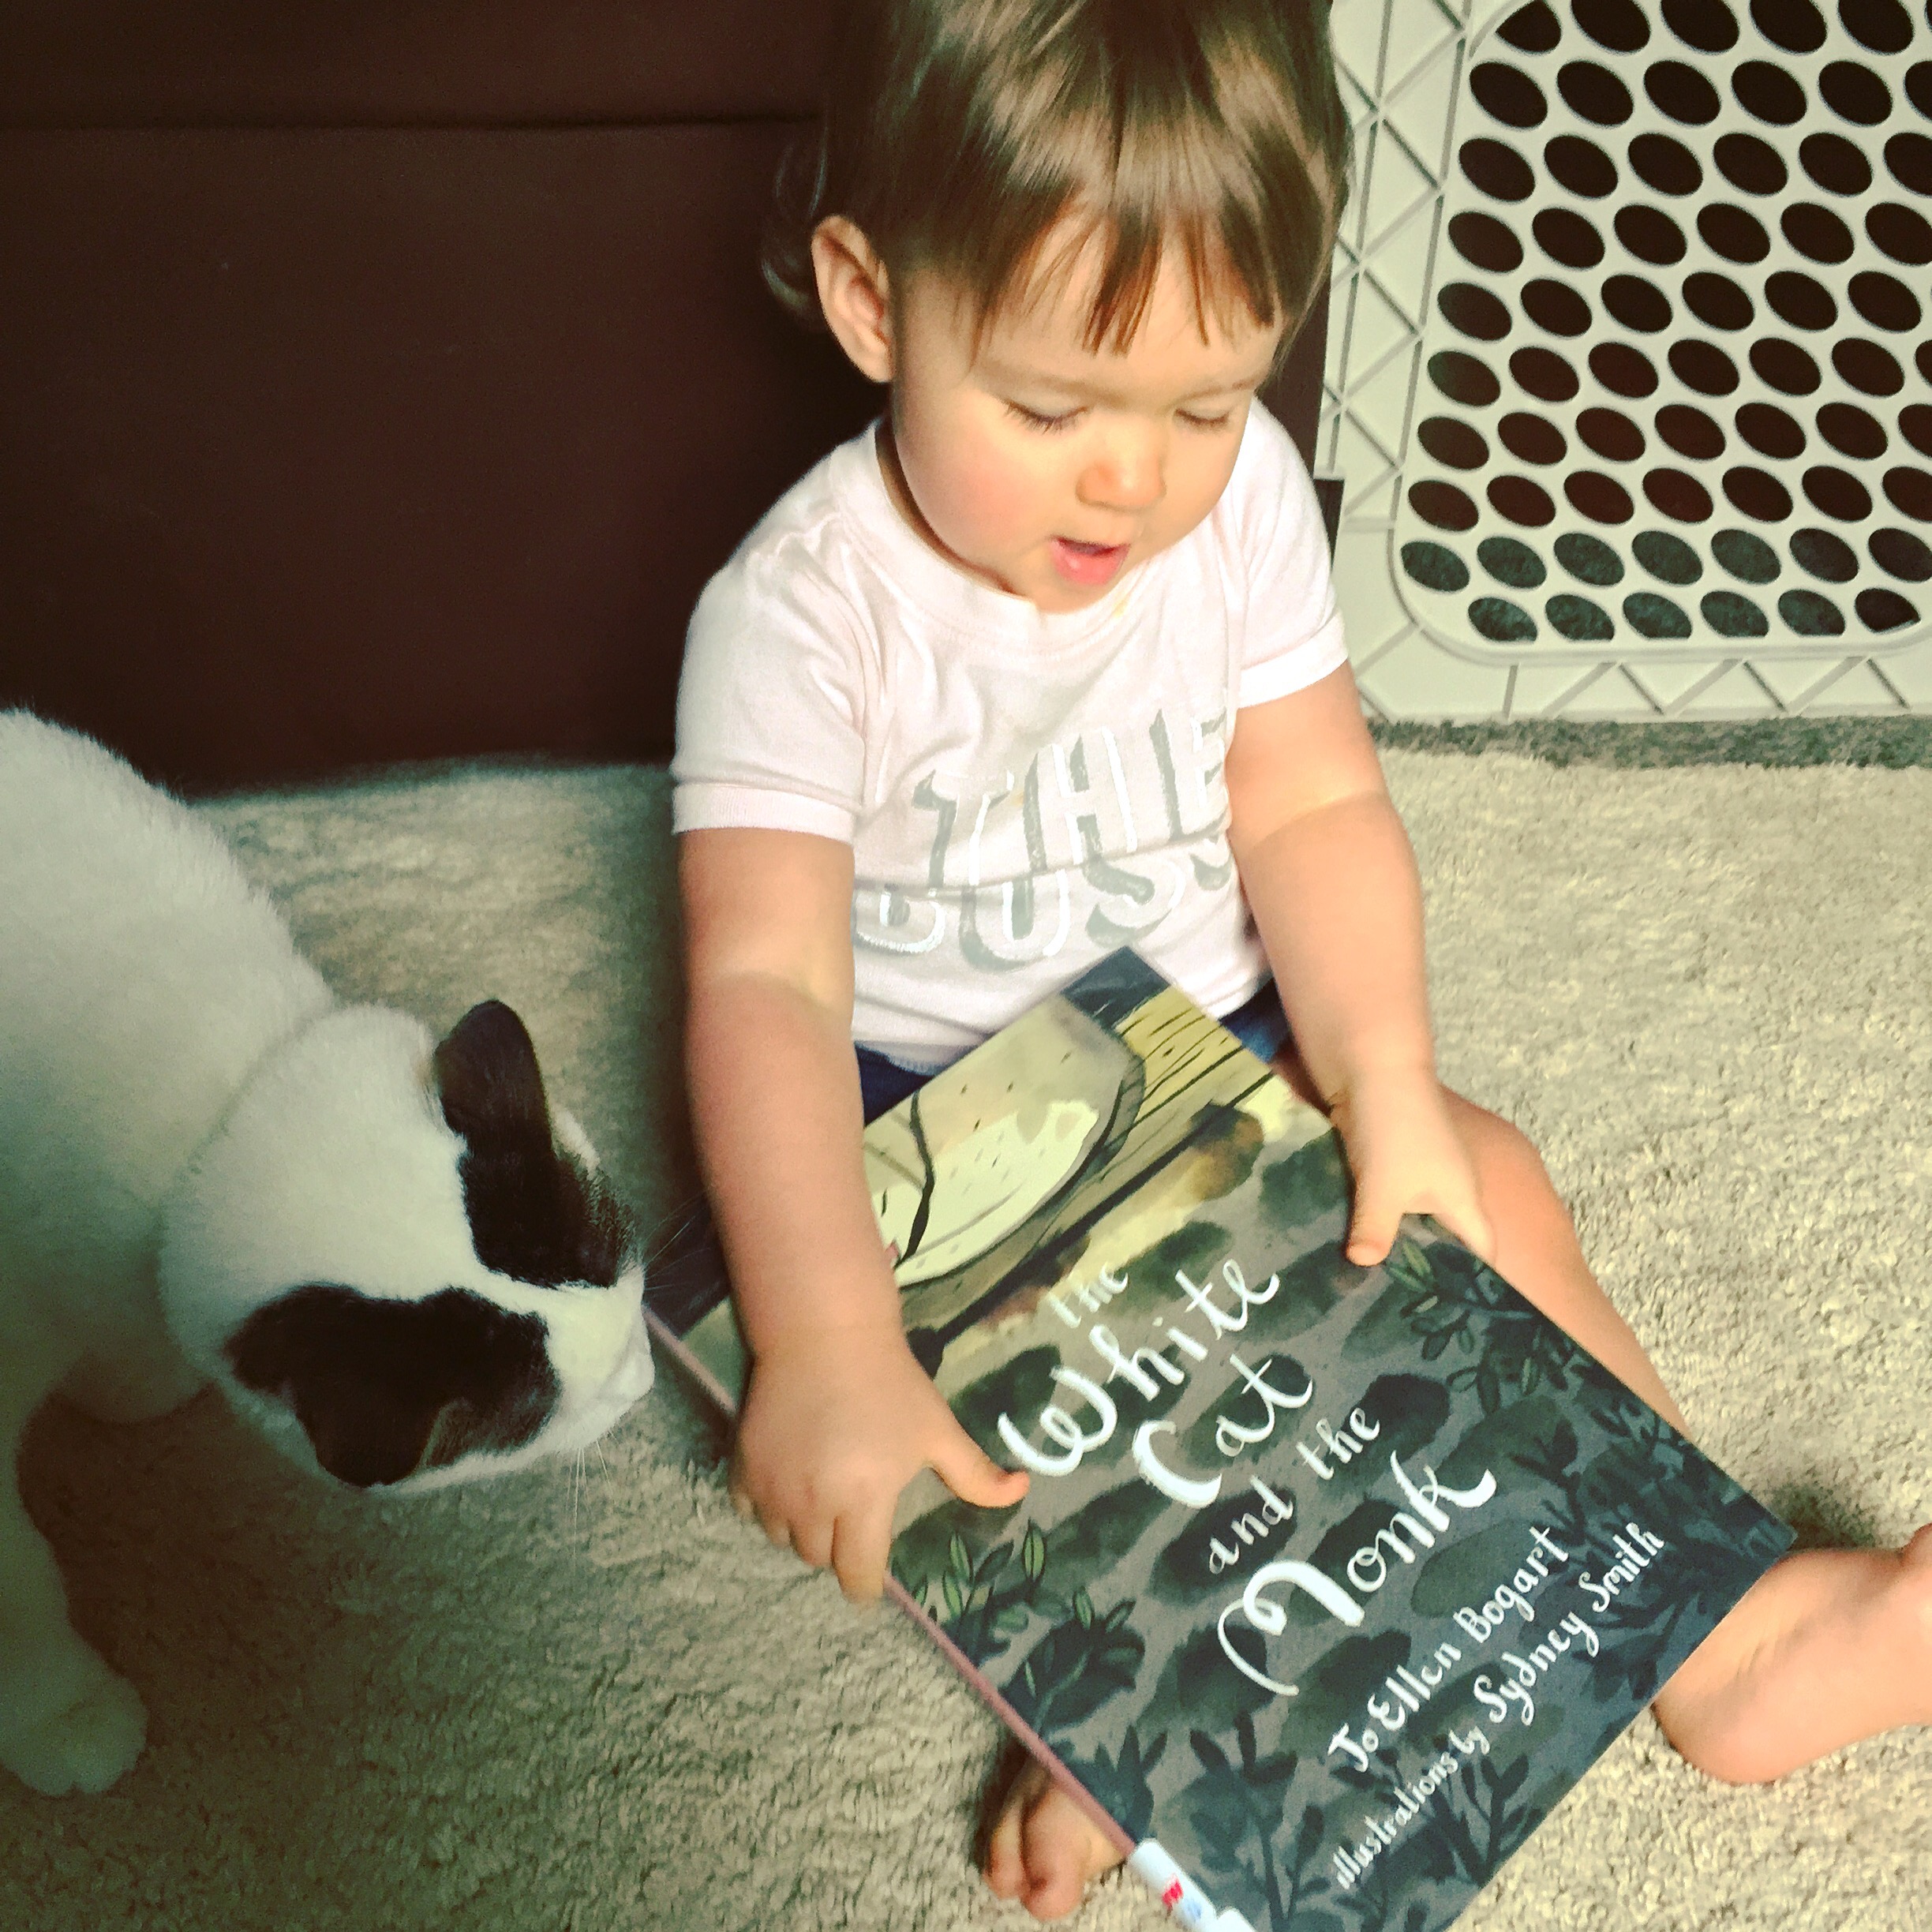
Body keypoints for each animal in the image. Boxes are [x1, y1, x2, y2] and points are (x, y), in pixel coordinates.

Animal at [0, 711, 654, 1797]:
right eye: (552, 1413)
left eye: (615, 1255)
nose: (643, 1379)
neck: (215, 1120)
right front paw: (63, 1713)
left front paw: (129, 1380)